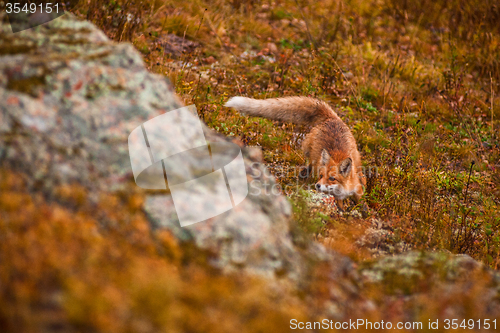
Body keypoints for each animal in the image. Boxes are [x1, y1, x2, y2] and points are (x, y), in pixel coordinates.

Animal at [225, 95, 366, 208]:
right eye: (321, 176)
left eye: (332, 178)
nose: (317, 185)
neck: (343, 190)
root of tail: (332, 118)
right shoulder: (337, 197)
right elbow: (340, 205)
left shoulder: (356, 188)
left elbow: (361, 199)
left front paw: (364, 211)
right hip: (310, 152)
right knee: (311, 164)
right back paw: (304, 174)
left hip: (356, 157)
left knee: (359, 171)